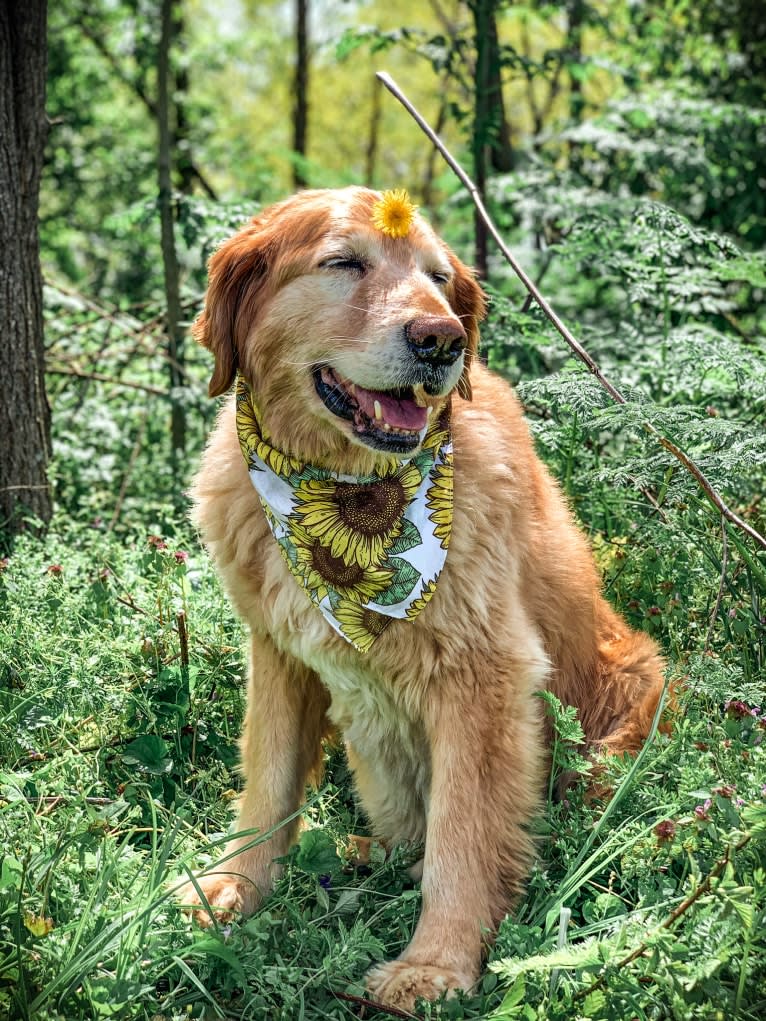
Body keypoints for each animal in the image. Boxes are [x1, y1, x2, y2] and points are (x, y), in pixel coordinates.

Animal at [184, 187, 665, 1008]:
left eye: (440, 278)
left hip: (632, 690)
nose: (442, 340)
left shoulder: (484, 676)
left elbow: (463, 833)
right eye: (344, 262)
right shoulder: (281, 652)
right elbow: (270, 783)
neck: (344, 487)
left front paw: (435, 964)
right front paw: (236, 889)